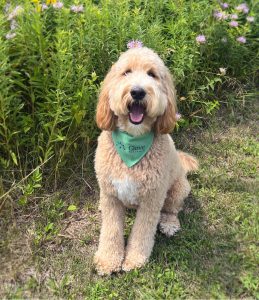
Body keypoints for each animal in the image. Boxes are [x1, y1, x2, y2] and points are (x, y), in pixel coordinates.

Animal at [94, 45, 198, 274]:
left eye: (152, 74)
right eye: (126, 72)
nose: (138, 91)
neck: (133, 141)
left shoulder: (152, 198)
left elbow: (142, 232)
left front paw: (134, 259)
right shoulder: (111, 194)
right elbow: (111, 230)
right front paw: (108, 259)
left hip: (178, 189)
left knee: (172, 209)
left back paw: (169, 224)